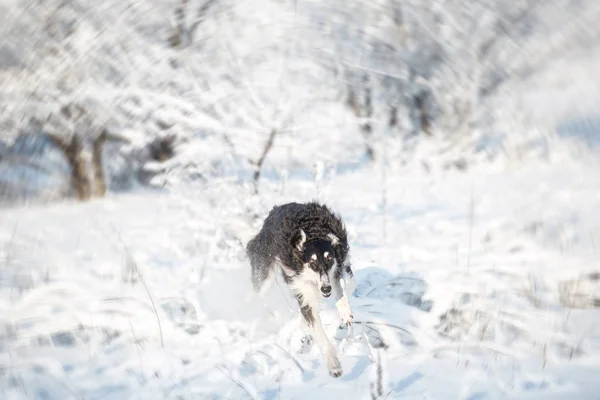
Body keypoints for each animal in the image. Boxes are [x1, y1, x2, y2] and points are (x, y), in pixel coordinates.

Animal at [245, 202, 354, 376]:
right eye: (312, 262)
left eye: (330, 258)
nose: (325, 289)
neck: (314, 234)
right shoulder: (304, 291)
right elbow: (318, 329)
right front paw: (333, 364)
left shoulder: (342, 263)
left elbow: (345, 286)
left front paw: (344, 311)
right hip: (264, 274)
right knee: (257, 295)